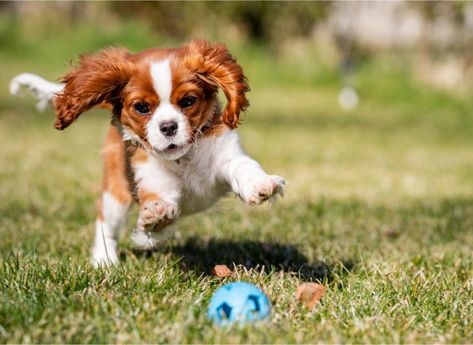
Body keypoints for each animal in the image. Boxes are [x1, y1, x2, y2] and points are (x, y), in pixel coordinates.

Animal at [10, 40, 284, 266]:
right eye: (142, 107)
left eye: (188, 101)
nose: (168, 126)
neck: (183, 159)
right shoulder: (154, 183)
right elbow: (158, 218)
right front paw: (157, 218)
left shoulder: (225, 152)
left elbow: (243, 167)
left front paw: (261, 185)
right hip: (117, 190)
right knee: (105, 221)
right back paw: (104, 260)